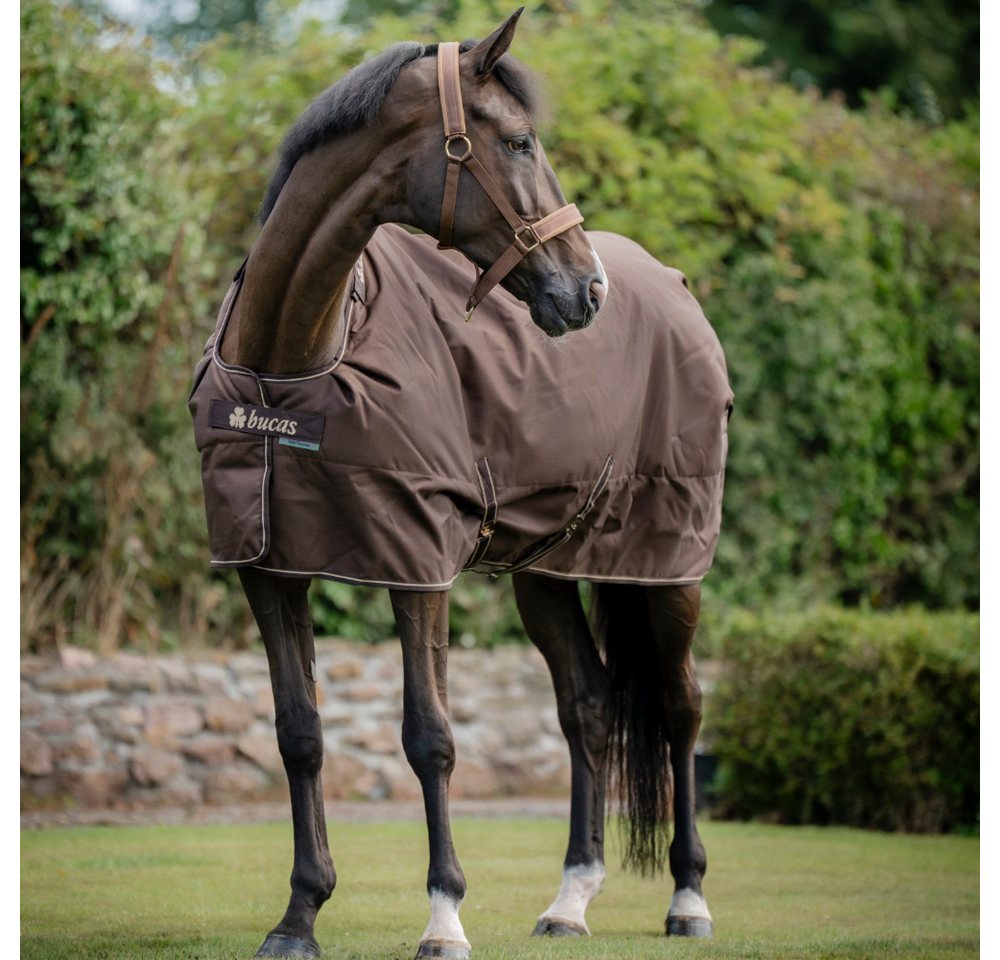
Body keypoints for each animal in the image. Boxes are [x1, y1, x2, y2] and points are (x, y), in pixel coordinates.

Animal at [189, 10, 732, 958]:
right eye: (517, 141)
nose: (586, 289)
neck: (291, 360)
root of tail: (674, 285)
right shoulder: (270, 568)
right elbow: (300, 735)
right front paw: (299, 916)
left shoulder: (417, 566)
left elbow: (430, 738)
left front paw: (443, 916)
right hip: (547, 568)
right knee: (588, 706)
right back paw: (570, 900)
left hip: (669, 566)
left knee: (680, 707)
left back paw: (688, 898)